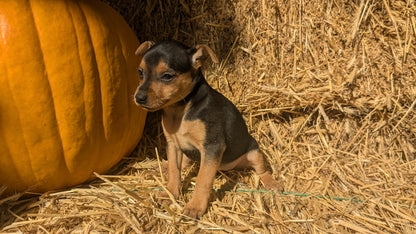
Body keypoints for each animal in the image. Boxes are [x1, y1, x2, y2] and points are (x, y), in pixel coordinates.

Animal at [133, 40, 282, 219]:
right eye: (140, 72)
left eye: (167, 76)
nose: (139, 97)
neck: (180, 110)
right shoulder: (173, 144)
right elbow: (174, 171)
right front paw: (170, 193)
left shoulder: (212, 146)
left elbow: (202, 180)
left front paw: (195, 206)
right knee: (184, 162)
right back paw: (163, 165)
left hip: (254, 152)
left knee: (261, 170)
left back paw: (272, 183)